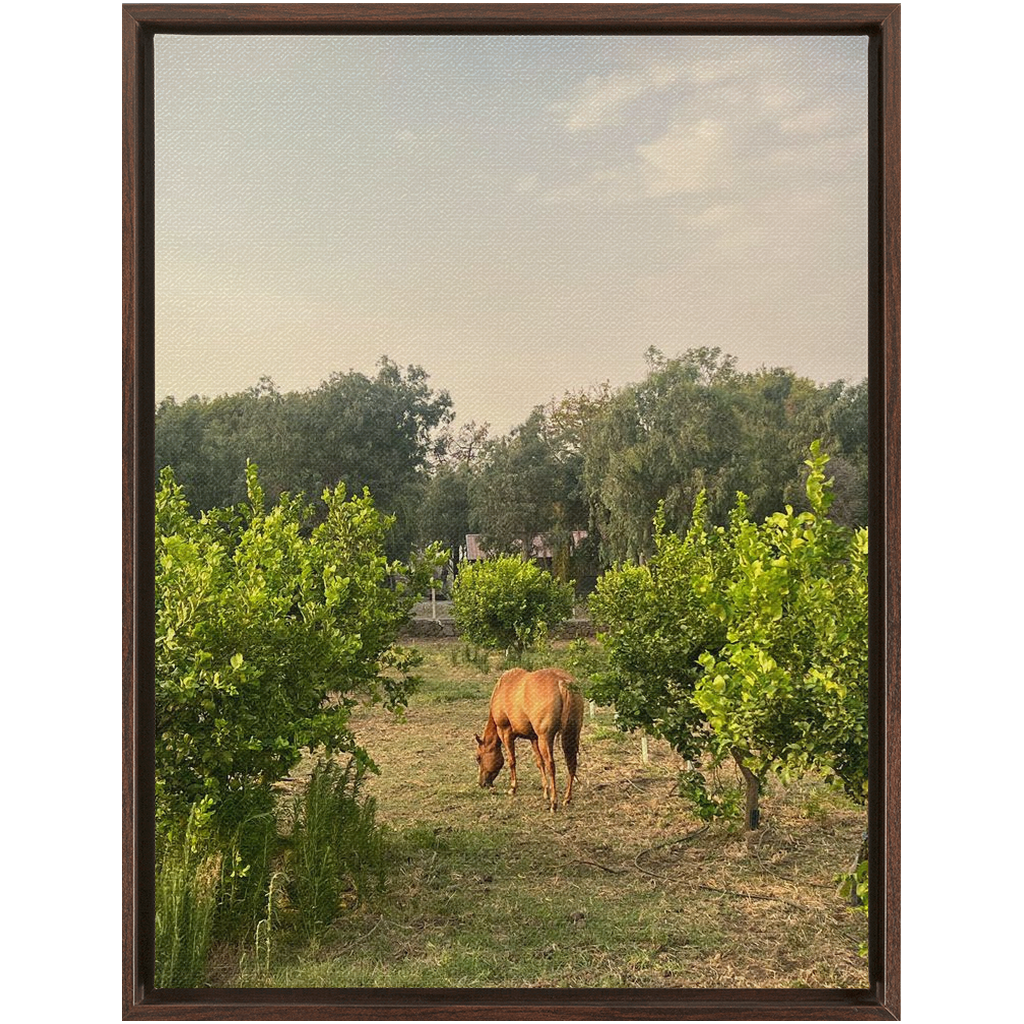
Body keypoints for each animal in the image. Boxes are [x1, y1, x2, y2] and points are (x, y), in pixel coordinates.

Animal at [473, 667, 585, 811]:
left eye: (478, 758)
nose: (482, 783)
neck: (502, 688)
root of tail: (562, 682)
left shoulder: (505, 732)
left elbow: (512, 761)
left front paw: (513, 788)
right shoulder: (534, 738)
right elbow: (539, 763)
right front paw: (545, 791)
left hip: (545, 738)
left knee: (551, 765)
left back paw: (554, 803)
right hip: (569, 735)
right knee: (571, 763)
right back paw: (567, 798)